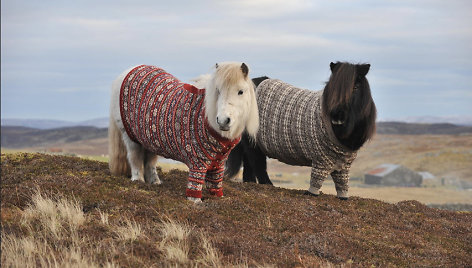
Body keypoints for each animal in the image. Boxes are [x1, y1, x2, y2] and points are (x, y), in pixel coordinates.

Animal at [108, 62, 258, 201]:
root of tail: (129, 71)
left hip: (149, 139)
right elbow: (195, 183)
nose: (222, 121)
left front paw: (217, 198)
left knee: (150, 161)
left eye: (241, 91)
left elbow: (215, 183)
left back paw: (155, 182)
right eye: (218, 90)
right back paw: (138, 181)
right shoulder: (198, 161)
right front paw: (195, 201)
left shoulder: (219, 163)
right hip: (130, 137)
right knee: (135, 158)